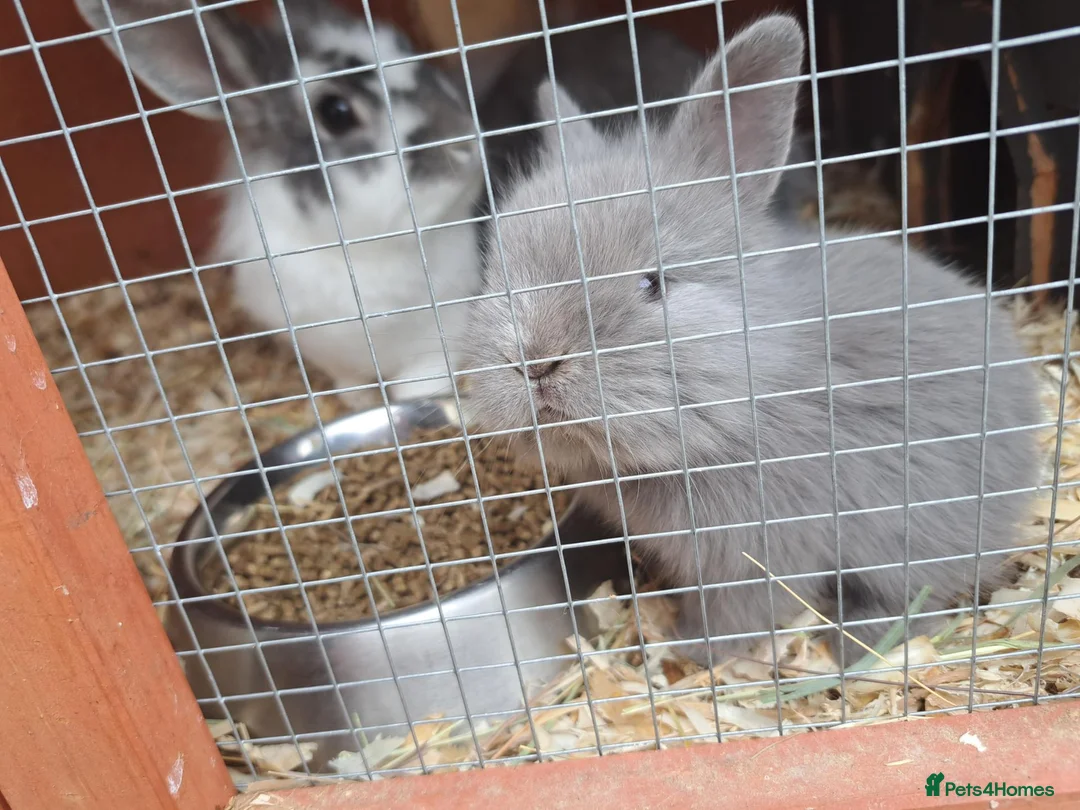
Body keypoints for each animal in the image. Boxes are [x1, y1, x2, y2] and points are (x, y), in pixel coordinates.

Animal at [75, 0, 484, 407]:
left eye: (405, 45)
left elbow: (418, 389)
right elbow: (354, 393)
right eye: (335, 112)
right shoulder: (330, 359)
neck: (364, 254)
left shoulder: (437, 344)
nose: (463, 138)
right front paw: (365, 408)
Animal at [463, 13, 1041, 667]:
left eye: (652, 283)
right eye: (496, 273)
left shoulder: (758, 556)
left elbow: (739, 615)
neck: (752, 384)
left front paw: (688, 651)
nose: (533, 362)